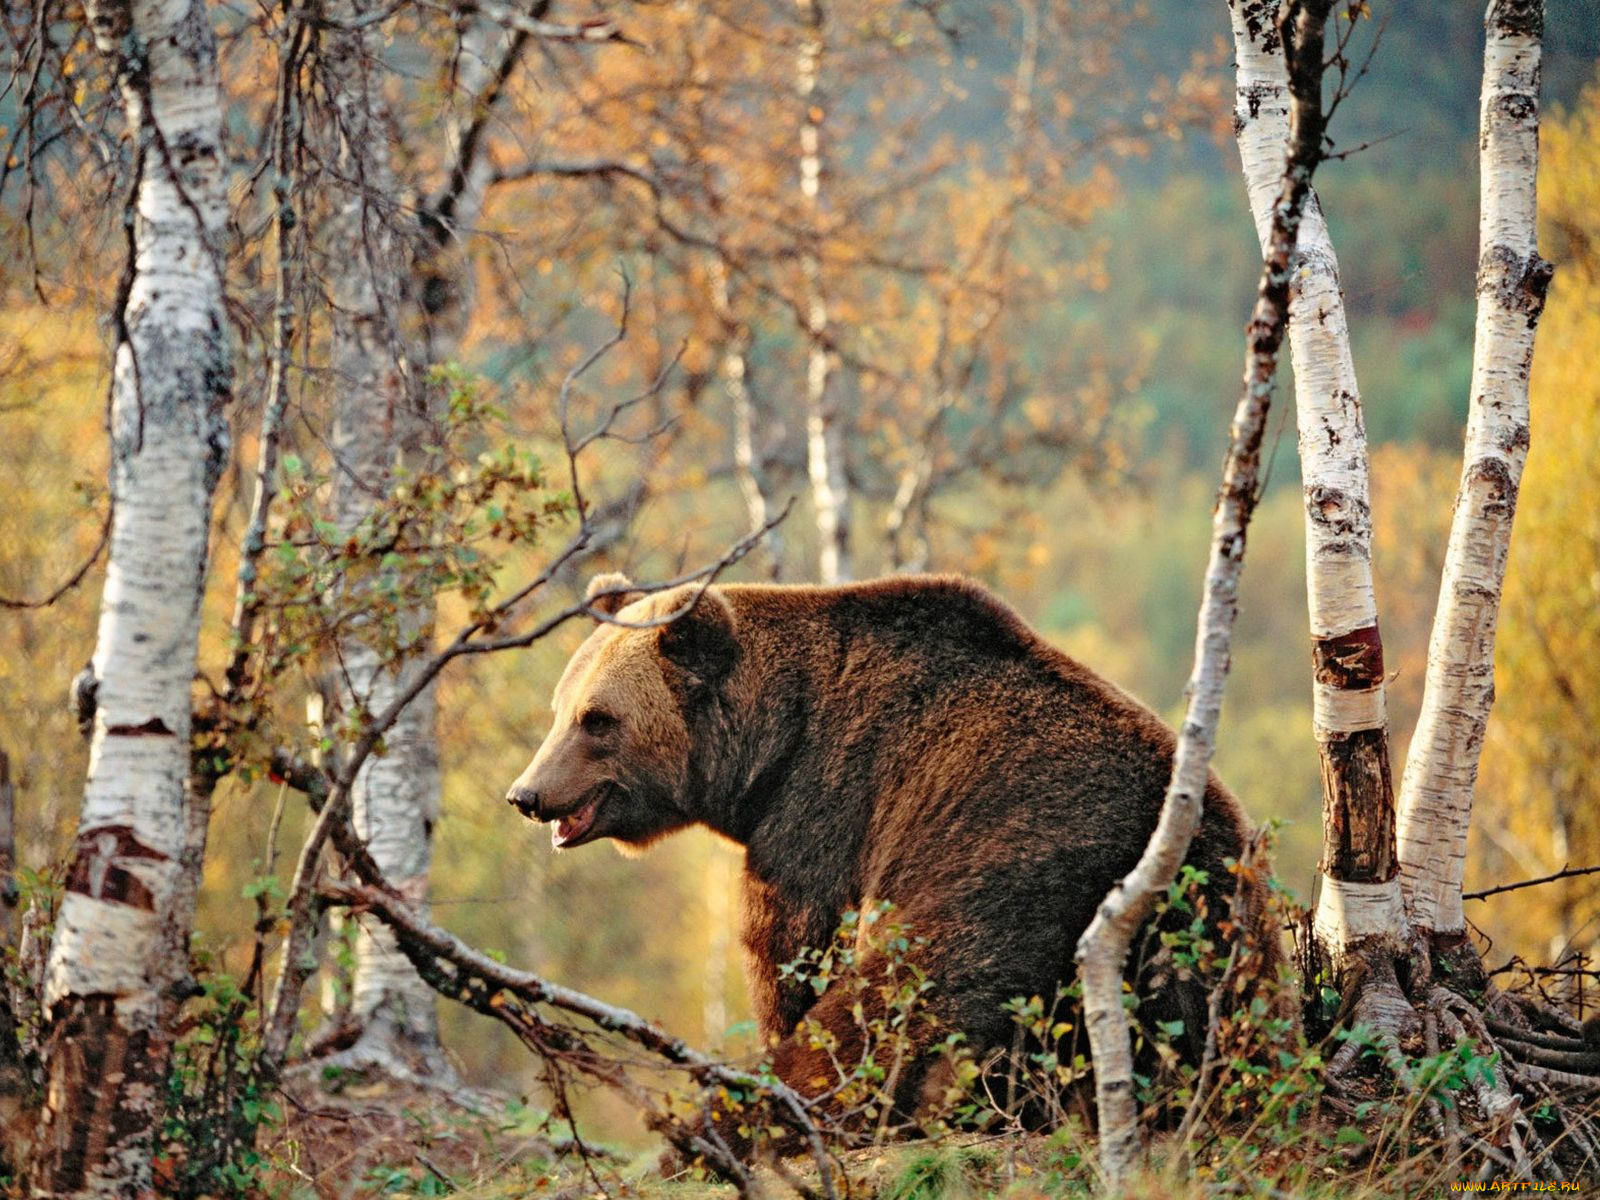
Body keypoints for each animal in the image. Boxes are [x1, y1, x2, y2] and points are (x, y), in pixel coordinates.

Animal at [505, 579, 1280, 1145]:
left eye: (598, 719)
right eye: (559, 706)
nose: (527, 794)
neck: (771, 746)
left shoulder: (828, 808)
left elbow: (793, 954)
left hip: (1009, 882)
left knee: (888, 1020)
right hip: (1211, 942)